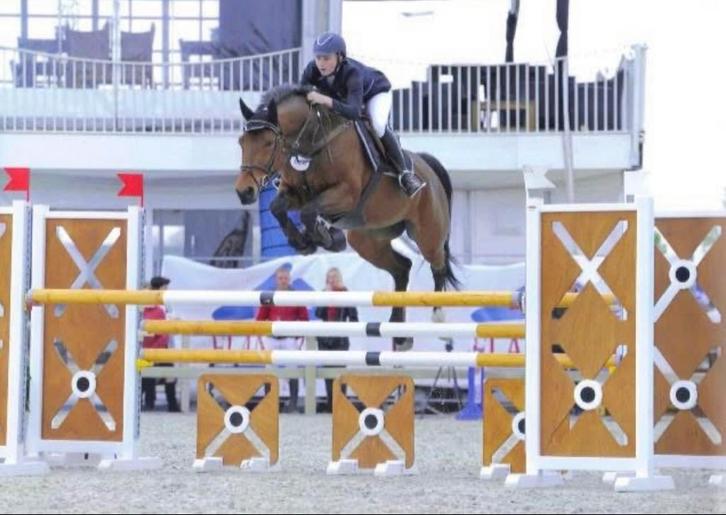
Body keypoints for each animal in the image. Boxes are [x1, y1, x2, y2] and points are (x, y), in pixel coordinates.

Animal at [235, 84, 458, 350]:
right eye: (241, 142)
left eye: (269, 143)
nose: (244, 191)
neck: (311, 142)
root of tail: (429, 168)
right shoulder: (294, 192)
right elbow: (277, 207)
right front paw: (305, 242)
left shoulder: (345, 194)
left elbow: (308, 212)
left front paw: (323, 238)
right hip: (368, 239)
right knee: (402, 268)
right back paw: (399, 333)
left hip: (427, 234)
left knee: (438, 265)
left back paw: (439, 320)